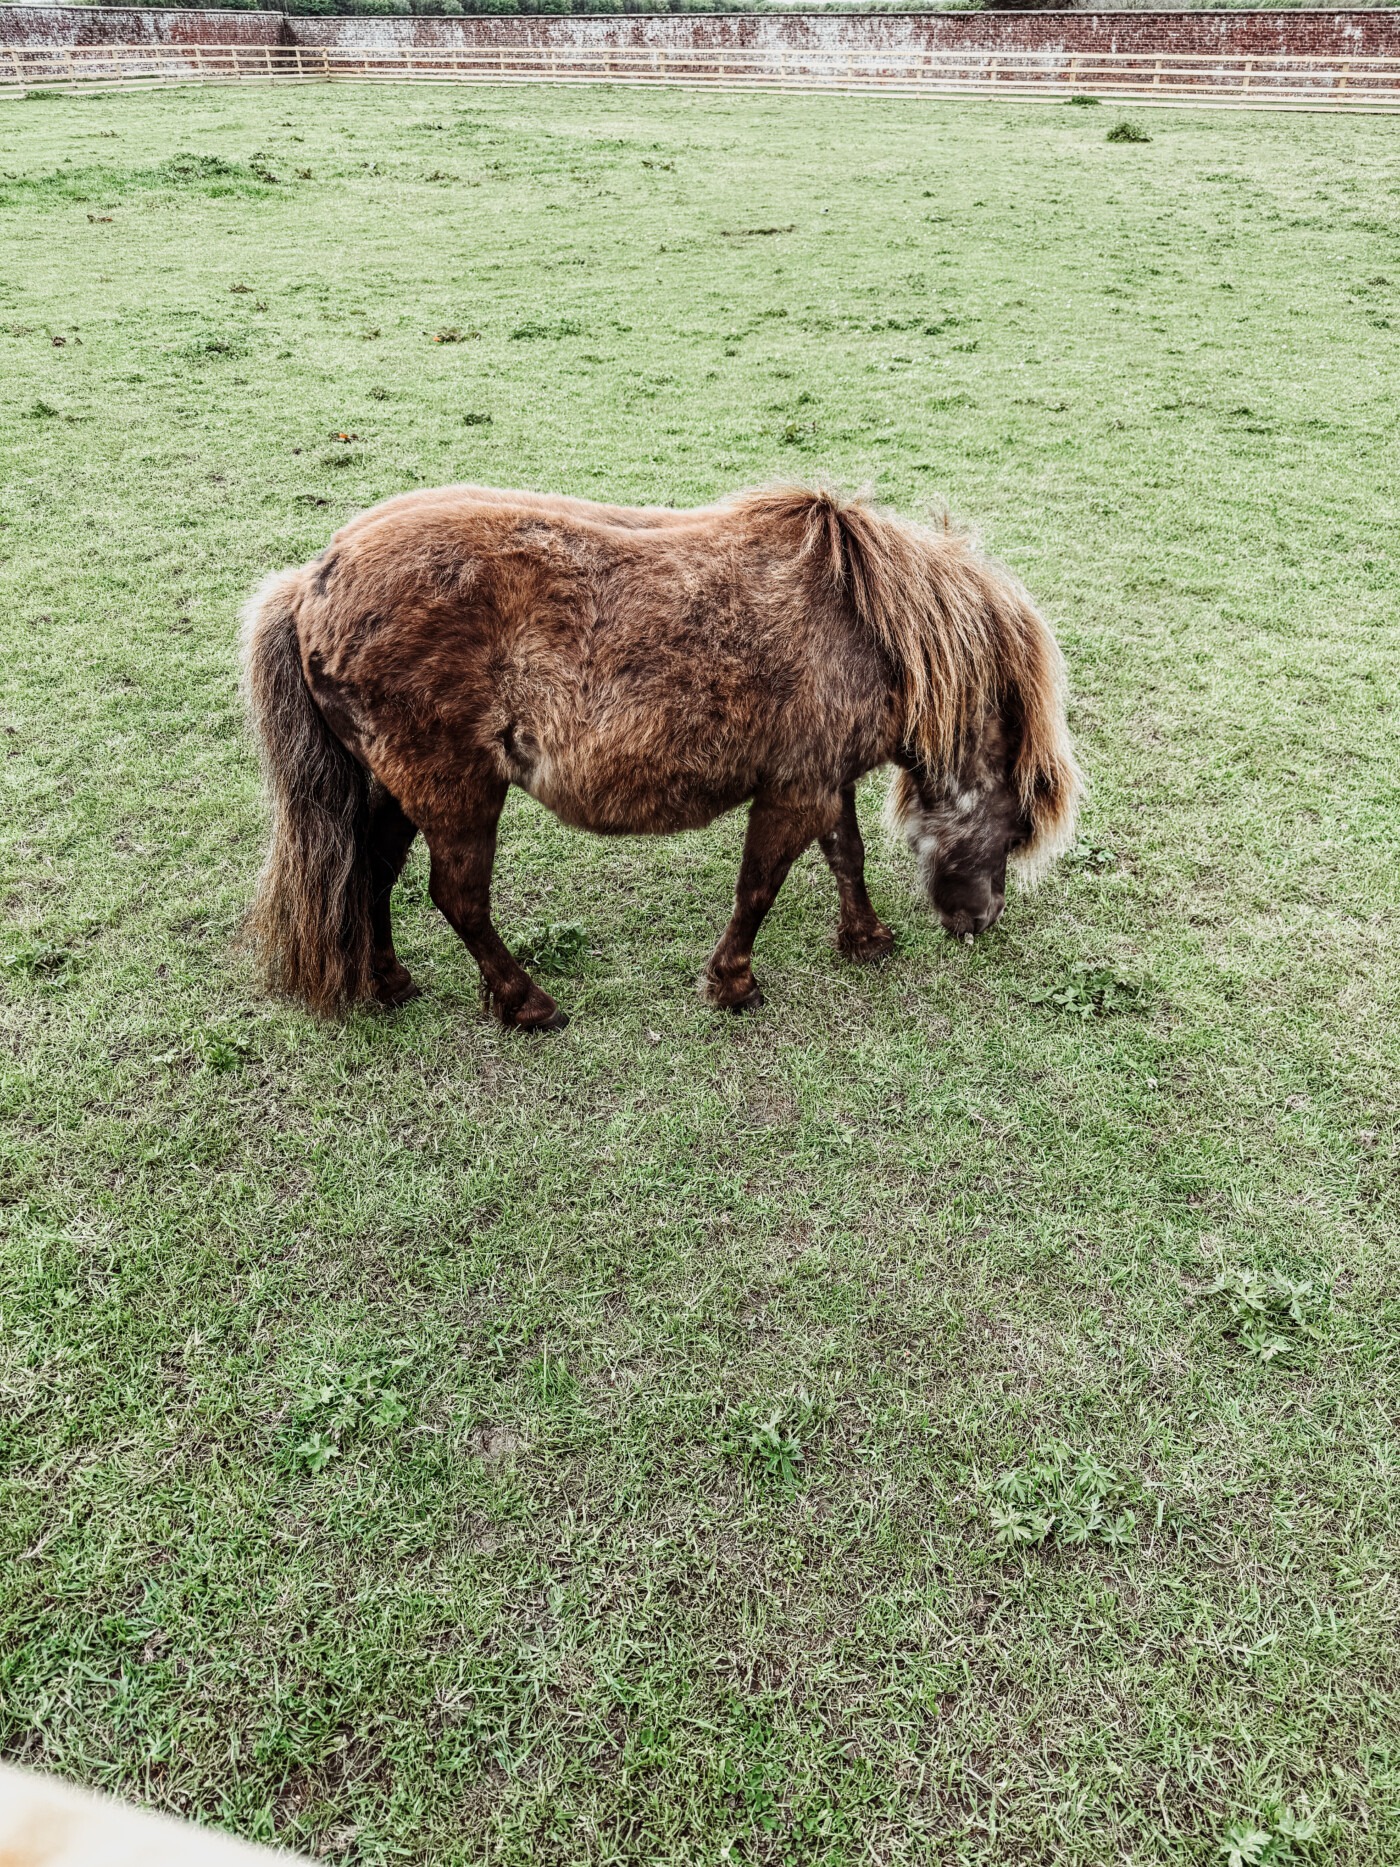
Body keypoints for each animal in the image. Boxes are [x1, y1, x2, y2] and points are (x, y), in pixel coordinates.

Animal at [241, 482, 1081, 1031]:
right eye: (1014, 829)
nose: (979, 921)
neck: (864, 629)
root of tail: (310, 583)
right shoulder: (795, 792)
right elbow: (759, 887)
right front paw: (733, 984)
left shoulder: (820, 778)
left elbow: (847, 854)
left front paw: (866, 940)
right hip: (458, 793)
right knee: (459, 898)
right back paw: (527, 1004)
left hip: (396, 788)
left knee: (372, 873)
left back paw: (389, 983)